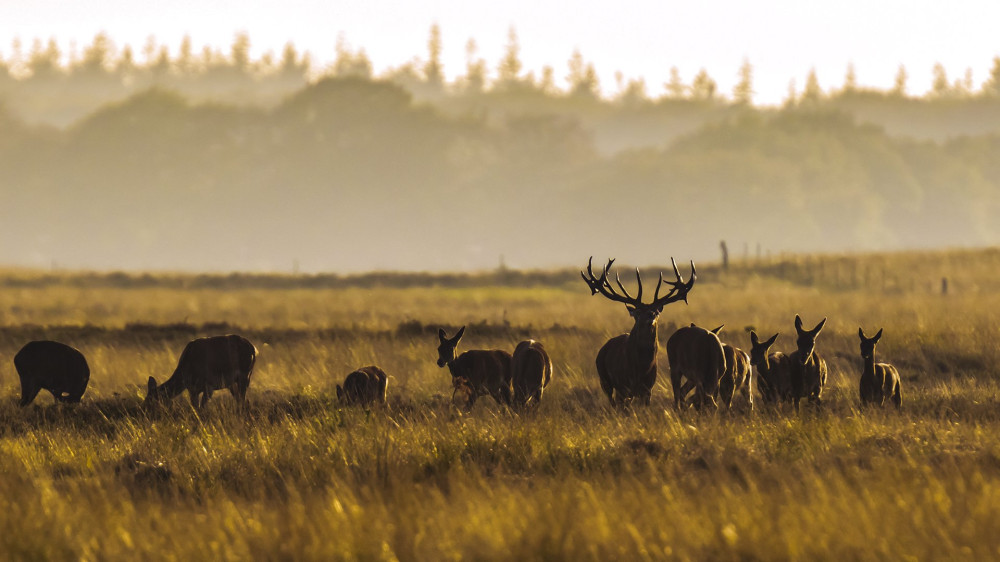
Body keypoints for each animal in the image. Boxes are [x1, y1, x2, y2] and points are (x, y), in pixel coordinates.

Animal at [580, 256, 696, 404]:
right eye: (639, 312)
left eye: (656, 312)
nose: (650, 316)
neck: (640, 367)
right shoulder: (623, 386)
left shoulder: (648, 388)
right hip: (605, 380)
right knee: (613, 402)